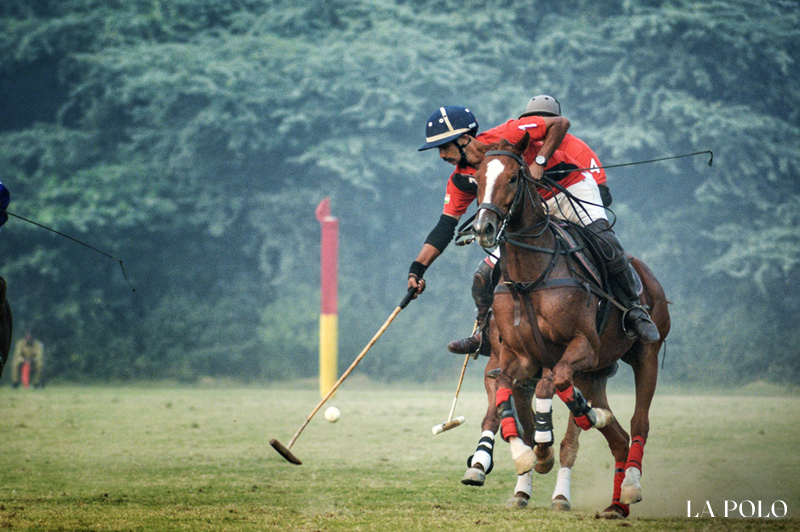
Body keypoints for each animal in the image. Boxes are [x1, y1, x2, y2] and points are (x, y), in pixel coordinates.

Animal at [468, 134, 668, 520]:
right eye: (477, 180)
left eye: (513, 178)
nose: (484, 229)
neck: (530, 277)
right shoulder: (518, 357)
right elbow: (503, 392)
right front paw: (523, 456)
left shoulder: (581, 346)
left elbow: (554, 386)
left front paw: (545, 449)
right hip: (597, 370)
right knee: (618, 439)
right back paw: (615, 504)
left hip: (645, 354)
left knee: (639, 423)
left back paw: (630, 486)